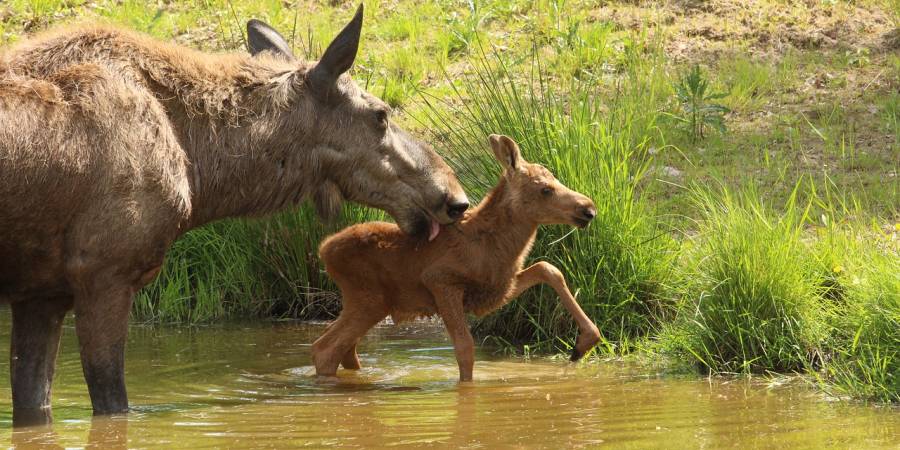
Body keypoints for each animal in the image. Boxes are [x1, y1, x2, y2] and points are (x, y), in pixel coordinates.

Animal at [0, 5, 468, 424]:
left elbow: (34, 404)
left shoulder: (42, 294)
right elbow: (112, 402)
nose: (455, 198)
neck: (200, 173)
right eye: (380, 114)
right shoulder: (104, 272)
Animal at [316, 134, 604, 380]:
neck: (496, 246)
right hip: (369, 299)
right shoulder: (441, 281)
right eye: (545, 189)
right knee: (325, 348)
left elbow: (548, 268)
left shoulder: (496, 289)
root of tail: (324, 250)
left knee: (341, 346)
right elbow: (465, 349)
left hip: (366, 302)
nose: (588, 208)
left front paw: (584, 343)